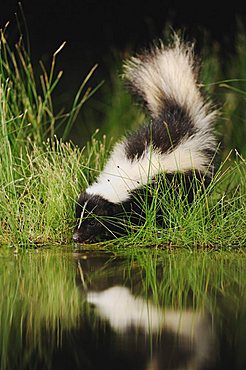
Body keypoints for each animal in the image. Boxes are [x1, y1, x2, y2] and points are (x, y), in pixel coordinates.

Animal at [73, 36, 217, 244]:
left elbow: (149, 212)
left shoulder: (151, 191)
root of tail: (177, 118)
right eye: (78, 217)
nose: (76, 237)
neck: (122, 176)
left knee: (191, 198)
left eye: (93, 222)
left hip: (193, 176)